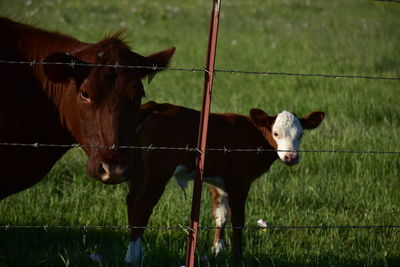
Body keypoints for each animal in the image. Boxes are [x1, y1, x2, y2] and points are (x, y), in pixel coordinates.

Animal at [125, 101, 324, 266]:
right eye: (276, 133)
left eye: (301, 134)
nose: (291, 157)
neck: (252, 135)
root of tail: (157, 106)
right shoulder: (240, 181)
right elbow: (238, 220)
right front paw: (237, 257)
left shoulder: (219, 182)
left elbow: (221, 215)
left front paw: (217, 250)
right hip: (158, 173)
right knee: (142, 206)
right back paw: (133, 257)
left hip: (140, 170)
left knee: (131, 200)